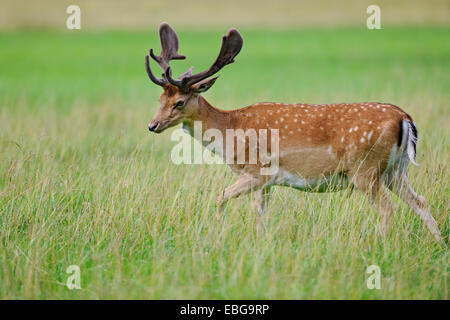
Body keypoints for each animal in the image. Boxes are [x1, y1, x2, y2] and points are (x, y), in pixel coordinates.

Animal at [145, 22, 442, 241]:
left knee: (388, 209)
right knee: (420, 202)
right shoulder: (266, 182)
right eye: (160, 99)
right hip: (395, 170)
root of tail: (405, 118)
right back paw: (438, 244)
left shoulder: (257, 171)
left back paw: (380, 244)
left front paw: (218, 232)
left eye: (179, 102)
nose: (153, 125)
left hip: (365, 169)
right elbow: (259, 212)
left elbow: (221, 197)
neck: (230, 129)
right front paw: (260, 241)